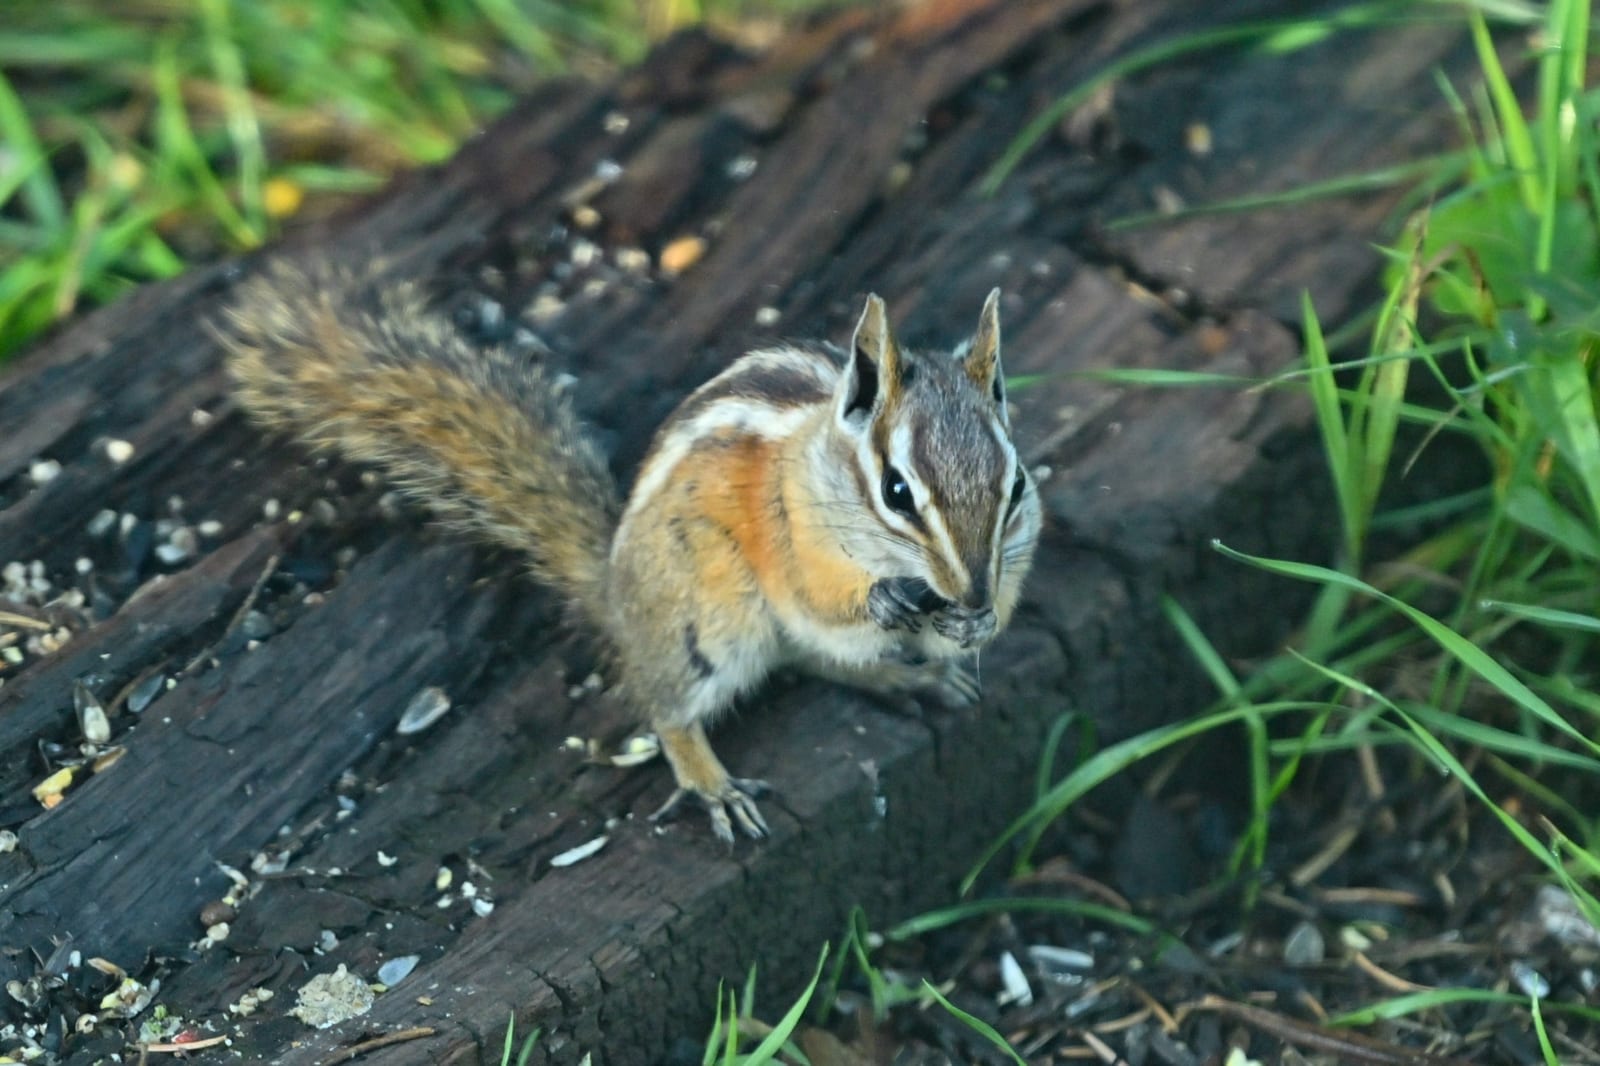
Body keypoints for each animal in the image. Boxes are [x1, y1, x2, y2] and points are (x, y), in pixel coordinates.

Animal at [218, 260, 1042, 843]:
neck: (825, 462)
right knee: (669, 706)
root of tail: (616, 597)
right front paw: (889, 599)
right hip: (708, 613)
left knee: (816, 662)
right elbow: (821, 593)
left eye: (1016, 484)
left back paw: (914, 677)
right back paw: (713, 782)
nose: (969, 593)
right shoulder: (791, 534)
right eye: (897, 491)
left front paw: (975, 625)